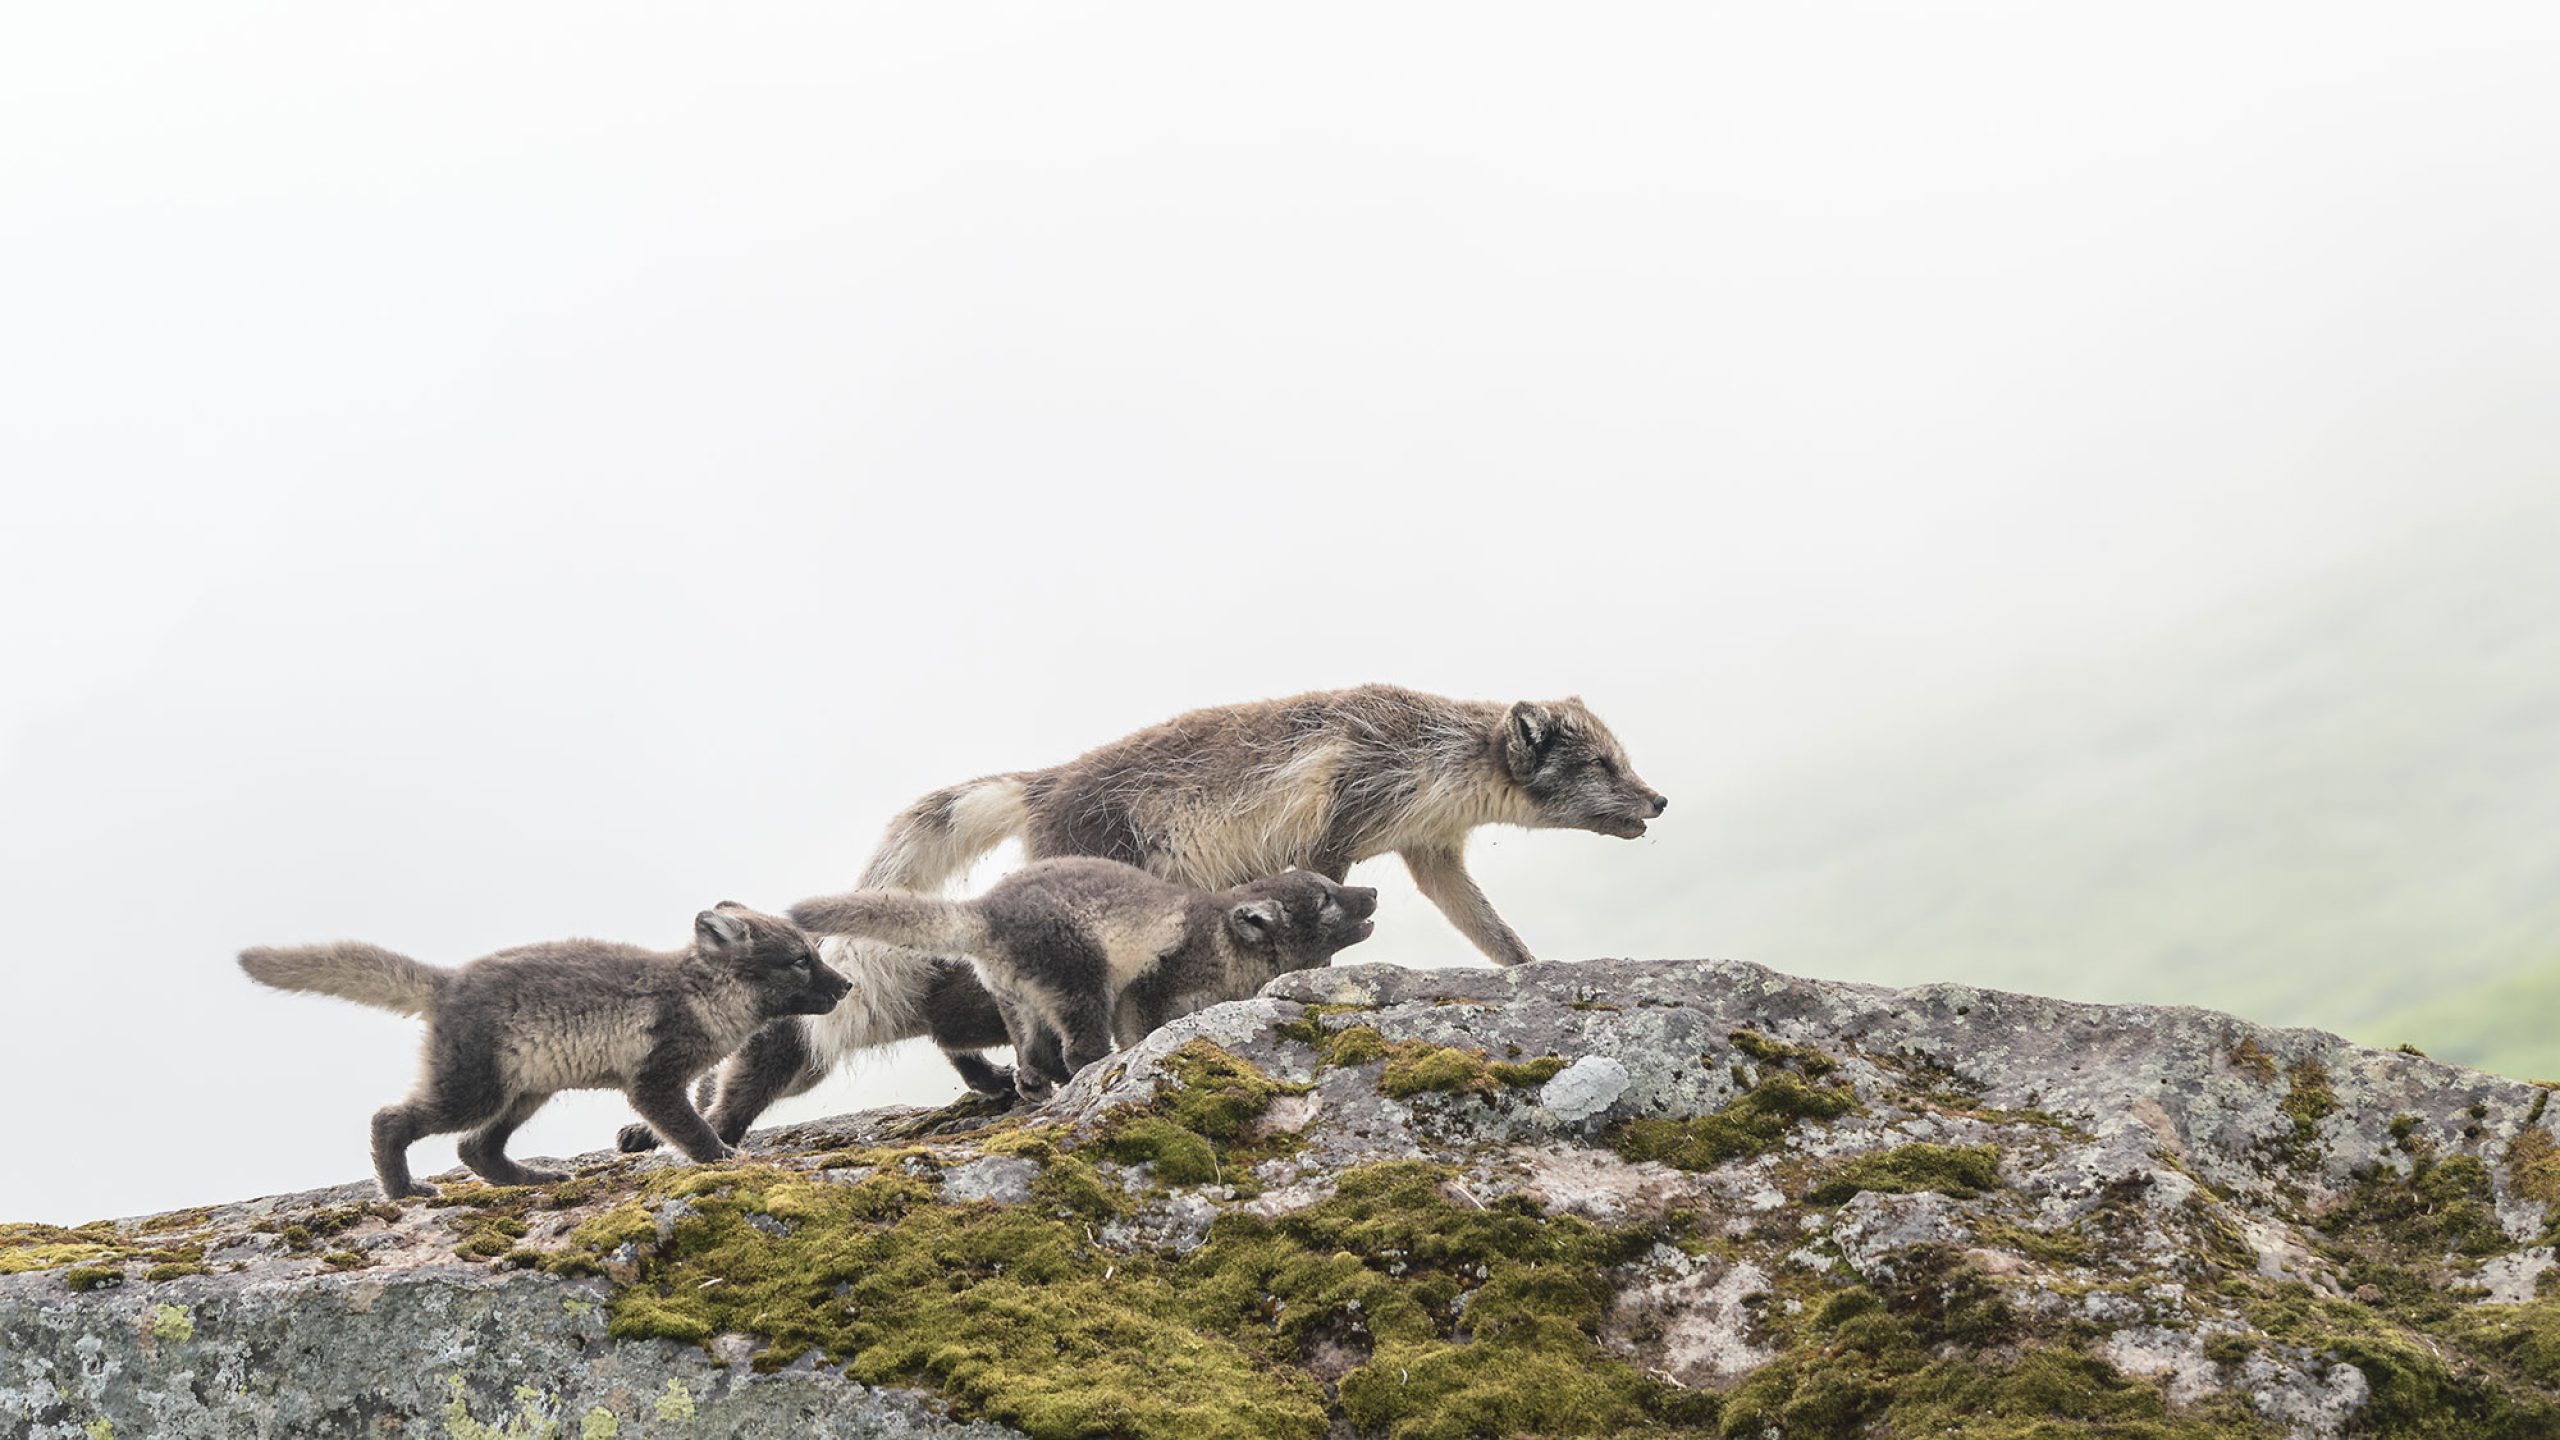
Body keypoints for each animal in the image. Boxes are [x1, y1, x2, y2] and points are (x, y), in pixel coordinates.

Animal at [242, 903, 849, 1199]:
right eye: (800, 961)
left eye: (817, 953)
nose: (846, 985)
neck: (703, 993)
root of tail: (447, 982)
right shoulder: (652, 1081)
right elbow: (694, 1129)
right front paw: (724, 1158)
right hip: (473, 1090)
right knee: (389, 1119)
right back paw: (403, 1191)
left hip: (525, 1093)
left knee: (474, 1150)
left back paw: (533, 1180)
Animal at [789, 858, 1379, 1098]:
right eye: (1325, 900)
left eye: (1331, 884)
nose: (1372, 892)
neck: (1221, 939)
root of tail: (985, 914)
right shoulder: (1149, 987)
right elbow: (1145, 1029)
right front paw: (1144, 1051)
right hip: (1080, 981)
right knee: (1076, 1052)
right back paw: (1093, 1068)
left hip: (1017, 1001)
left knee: (1031, 1056)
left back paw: (1029, 1086)